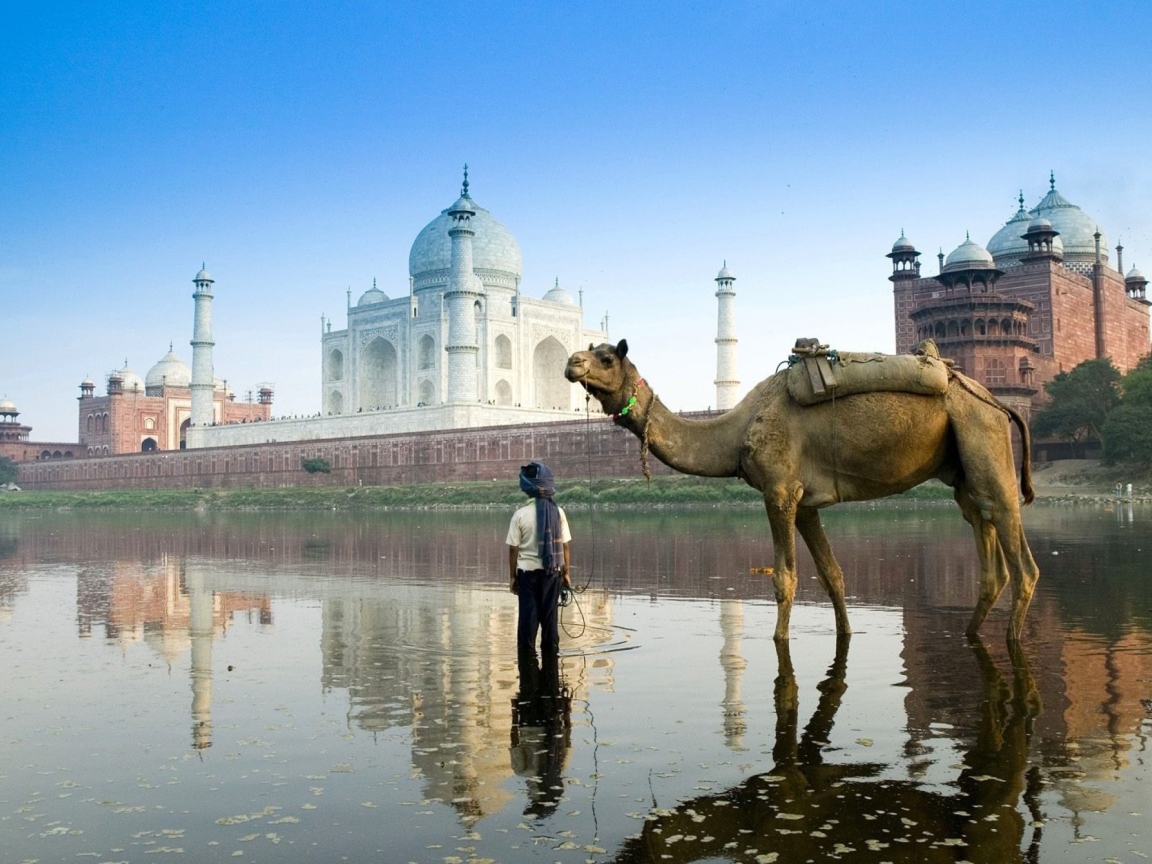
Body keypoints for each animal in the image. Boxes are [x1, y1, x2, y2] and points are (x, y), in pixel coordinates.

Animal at [566, 338, 1046, 645]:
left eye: (606, 357)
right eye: (588, 353)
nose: (572, 363)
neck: (736, 430)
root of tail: (997, 402)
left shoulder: (778, 489)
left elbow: (785, 578)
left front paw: (779, 639)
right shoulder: (806, 503)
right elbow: (832, 575)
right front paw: (846, 632)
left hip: (984, 439)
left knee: (1021, 556)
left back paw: (1011, 640)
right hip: (963, 469)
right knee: (986, 546)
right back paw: (970, 633)